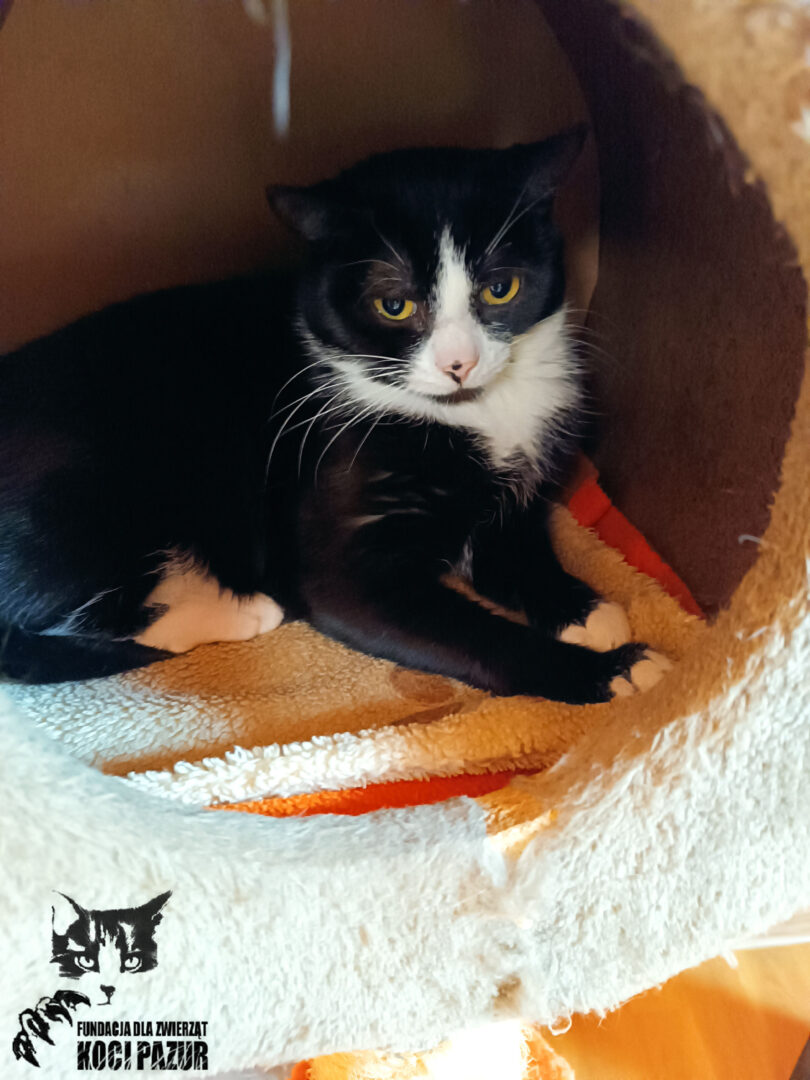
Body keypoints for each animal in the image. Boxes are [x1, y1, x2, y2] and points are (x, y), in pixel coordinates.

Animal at [0, 126, 670, 701]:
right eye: (394, 305)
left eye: (499, 289)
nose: (459, 363)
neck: (471, 412)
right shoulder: (342, 555)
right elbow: (480, 638)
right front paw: (617, 671)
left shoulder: (509, 498)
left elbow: (518, 549)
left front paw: (586, 610)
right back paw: (238, 609)